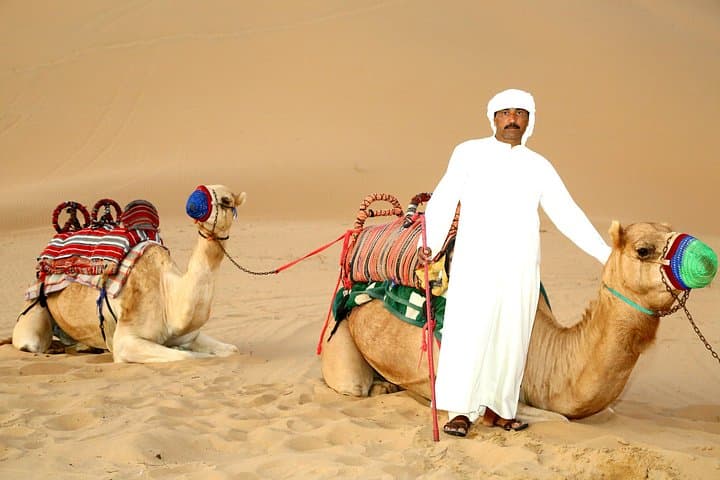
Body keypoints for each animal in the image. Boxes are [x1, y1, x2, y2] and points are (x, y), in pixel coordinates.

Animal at [12, 184, 246, 363]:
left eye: (226, 199)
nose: (195, 204)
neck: (168, 295)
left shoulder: (189, 334)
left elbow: (232, 350)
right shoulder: (127, 339)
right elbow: (187, 357)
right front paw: (183, 351)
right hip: (33, 315)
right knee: (30, 341)